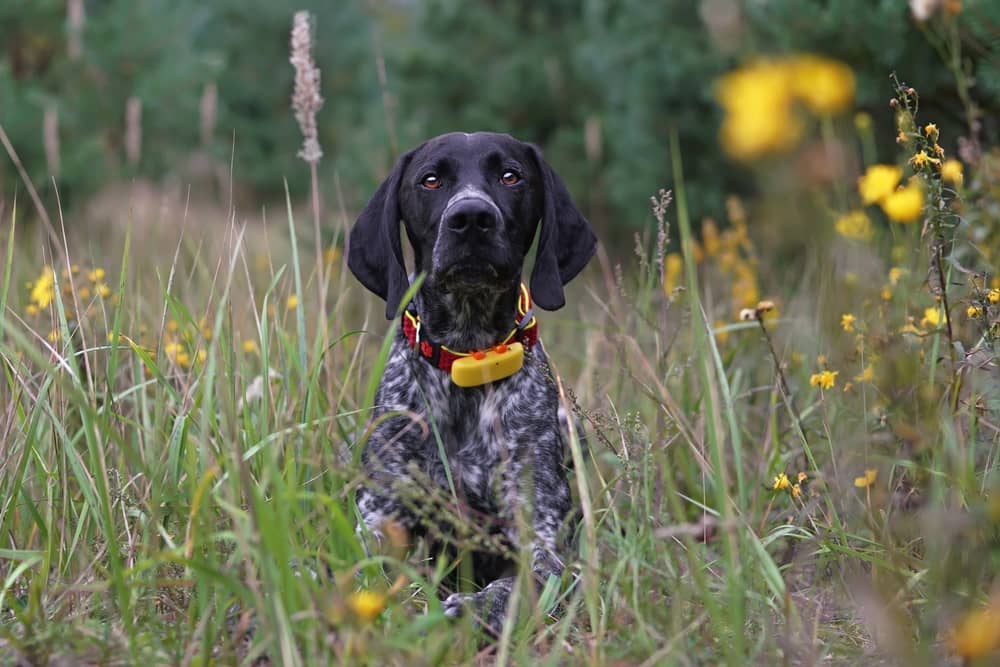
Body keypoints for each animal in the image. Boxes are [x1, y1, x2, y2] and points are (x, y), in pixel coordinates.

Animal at [348, 132, 592, 636]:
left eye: (511, 176)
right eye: (431, 180)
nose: (472, 218)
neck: (467, 356)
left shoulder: (541, 536)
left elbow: (518, 586)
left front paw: (472, 610)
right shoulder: (382, 514)